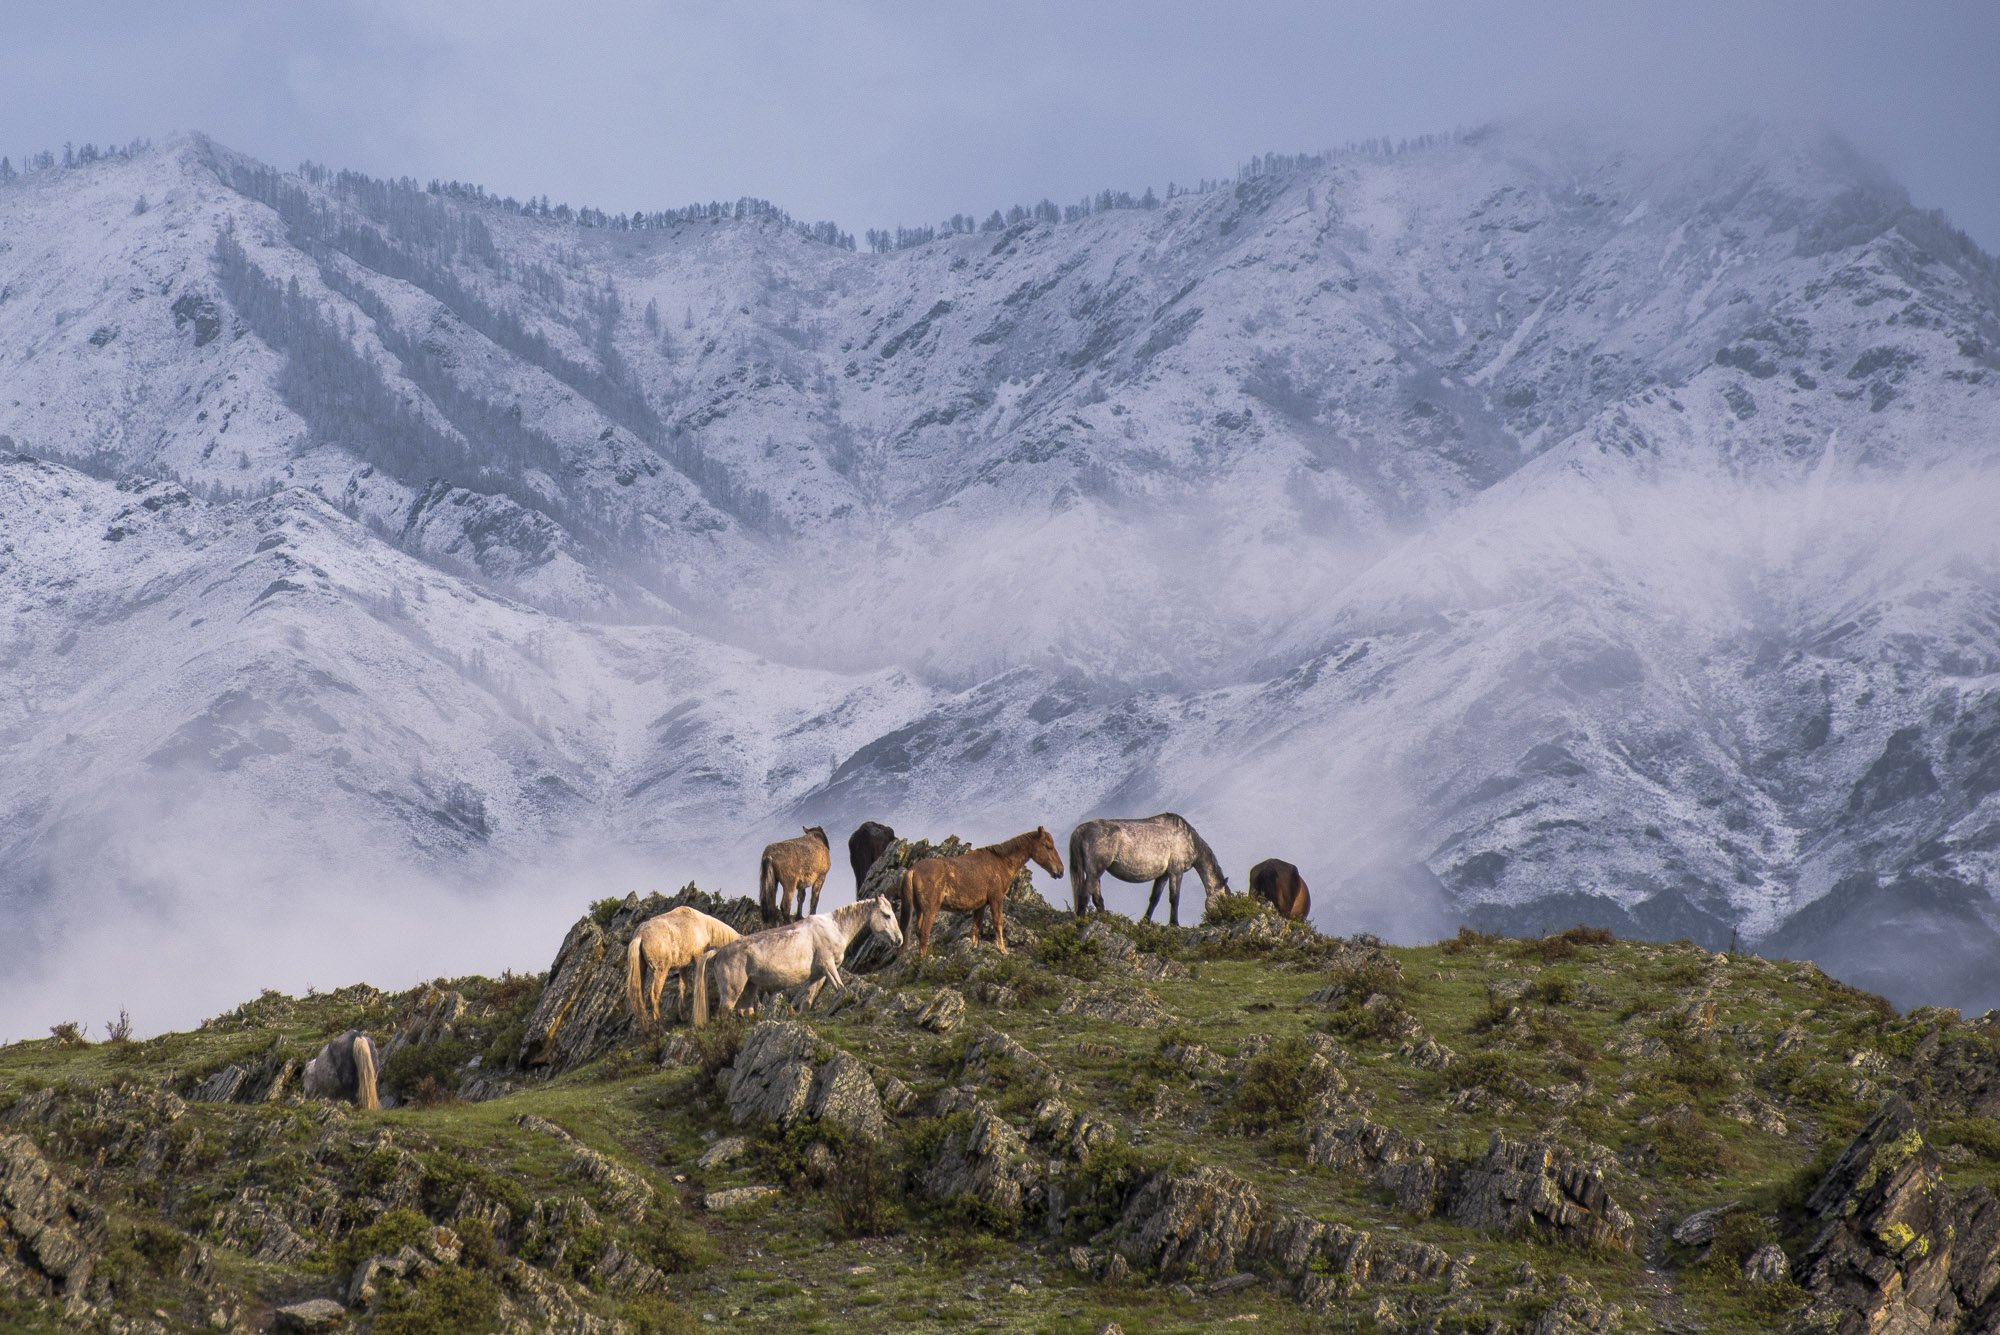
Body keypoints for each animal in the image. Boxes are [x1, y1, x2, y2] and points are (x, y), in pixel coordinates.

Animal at [692, 903, 904, 1031]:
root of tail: (719, 952)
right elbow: (840, 988)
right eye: (886, 915)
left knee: (745, 1010)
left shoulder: (818, 975)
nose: (899, 940)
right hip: (731, 992)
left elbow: (807, 1001)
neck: (834, 928)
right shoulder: (829, 966)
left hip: (750, 987)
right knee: (724, 1014)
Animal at [904, 827, 1064, 955]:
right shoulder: (996, 898)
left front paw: (975, 947)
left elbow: (976, 927)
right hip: (930, 909)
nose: (1060, 871)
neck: (1001, 862)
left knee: (919, 932)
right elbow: (998, 922)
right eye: (1048, 846)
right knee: (924, 933)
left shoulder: (980, 906)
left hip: (919, 910)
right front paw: (1002, 949)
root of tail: (913, 870)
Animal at [1072, 815, 1224, 927]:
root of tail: (1080, 830)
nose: (1218, 919)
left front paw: (1145, 921)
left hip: (1096, 873)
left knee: (1097, 898)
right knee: (1084, 895)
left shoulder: (1163, 875)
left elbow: (1154, 899)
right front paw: (1174, 924)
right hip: (1094, 872)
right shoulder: (1176, 872)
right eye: (1222, 898)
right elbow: (1174, 898)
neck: (1188, 839)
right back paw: (1081, 921)